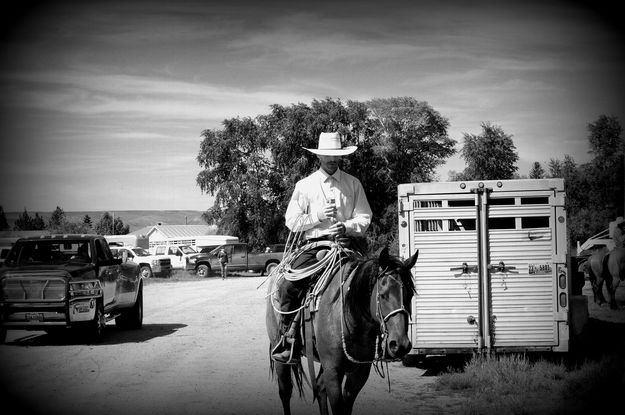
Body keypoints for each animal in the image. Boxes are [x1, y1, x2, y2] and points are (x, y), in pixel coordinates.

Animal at [264, 249, 416, 414]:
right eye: (382, 295)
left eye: (410, 295)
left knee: (319, 387)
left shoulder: (359, 373)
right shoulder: (333, 371)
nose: (400, 345)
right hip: (280, 355)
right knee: (285, 391)